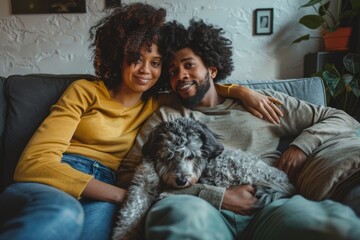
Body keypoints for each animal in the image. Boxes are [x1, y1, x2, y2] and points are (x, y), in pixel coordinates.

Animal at [112, 117, 296, 240]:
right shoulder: (143, 183)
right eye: (168, 155)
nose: (181, 181)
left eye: (192, 156)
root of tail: (287, 183)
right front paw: (124, 233)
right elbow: (131, 212)